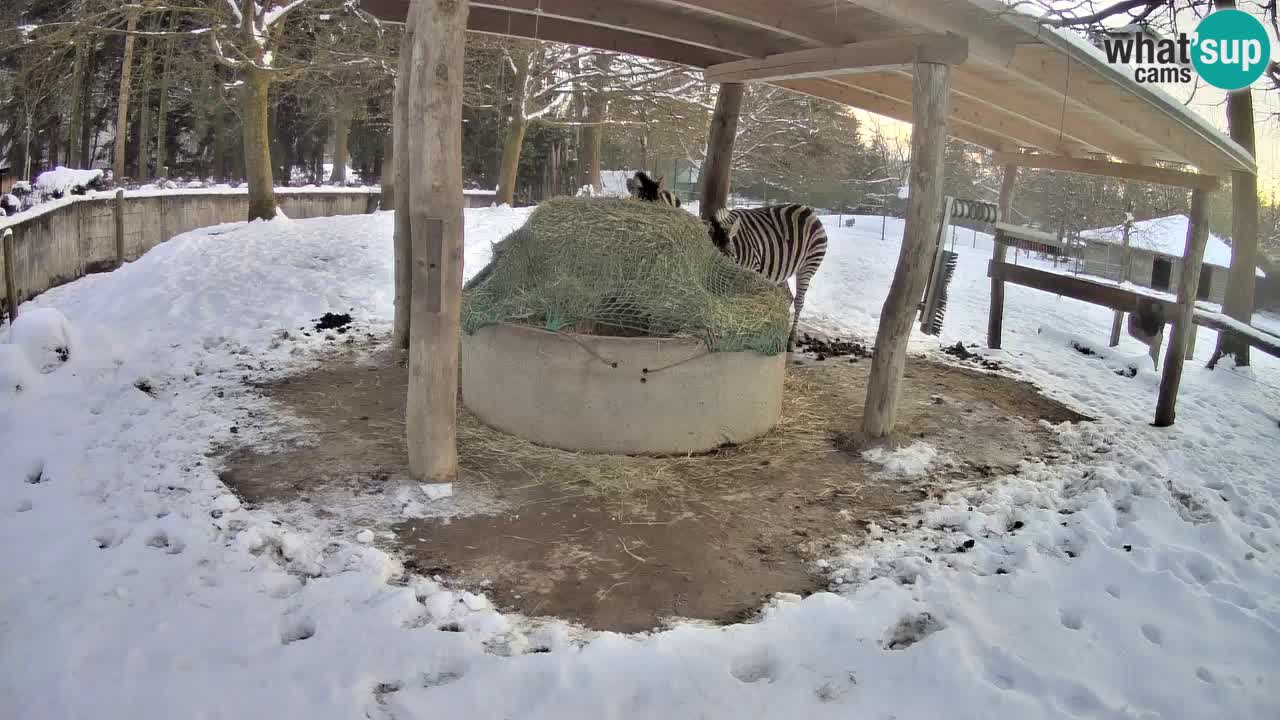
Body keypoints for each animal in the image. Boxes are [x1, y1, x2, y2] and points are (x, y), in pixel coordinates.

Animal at [709, 205, 828, 352]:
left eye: (732, 257)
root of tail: (808, 210)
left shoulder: (751, 270)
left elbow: (745, 303)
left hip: (809, 265)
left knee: (799, 301)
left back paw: (791, 340)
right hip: (782, 270)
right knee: (788, 297)